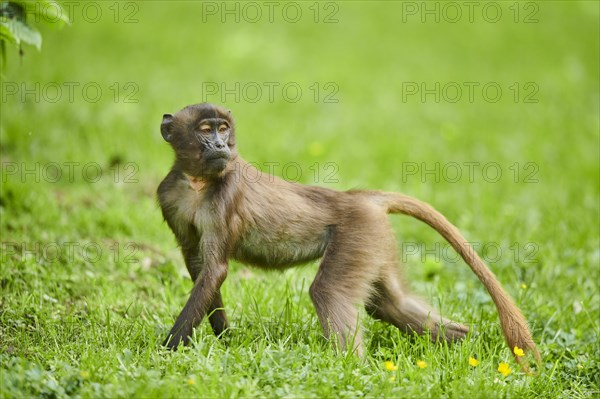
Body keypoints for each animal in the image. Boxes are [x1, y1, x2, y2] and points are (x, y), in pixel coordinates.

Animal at [156, 102, 540, 366]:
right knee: (390, 303)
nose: (222, 147)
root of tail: (358, 197)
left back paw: (350, 368)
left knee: (330, 292)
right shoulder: (169, 196)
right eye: (206, 130)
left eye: (223, 129)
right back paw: (466, 340)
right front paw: (225, 342)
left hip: (357, 233)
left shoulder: (226, 195)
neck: (198, 183)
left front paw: (167, 353)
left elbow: (214, 270)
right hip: (375, 238)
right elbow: (200, 268)